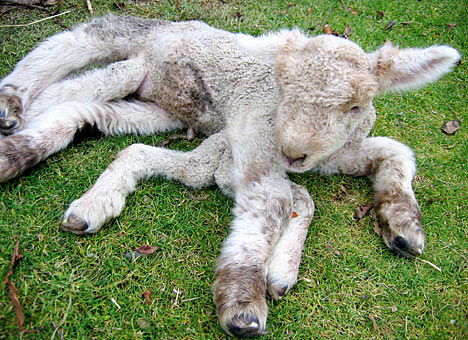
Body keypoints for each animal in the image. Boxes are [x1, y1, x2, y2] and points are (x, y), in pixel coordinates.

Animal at [0, 13, 460, 338]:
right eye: (283, 88)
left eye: (354, 106)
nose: (293, 151)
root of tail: (173, 26)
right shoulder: (252, 143)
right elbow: (272, 203)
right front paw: (244, 299)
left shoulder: (330, 153)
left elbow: (394, 153)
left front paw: (403, 225)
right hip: (133, 56)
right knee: (67, 61)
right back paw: (12, 112)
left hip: (159, 109)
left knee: (89, 113)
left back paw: (71, 184)